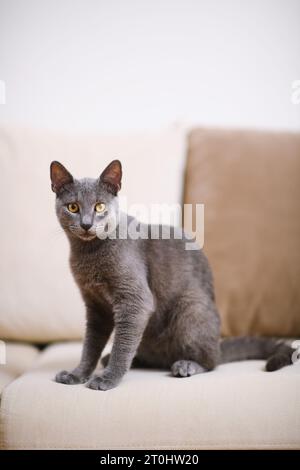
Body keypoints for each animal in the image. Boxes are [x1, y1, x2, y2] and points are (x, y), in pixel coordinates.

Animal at [49, 160, 292, 392]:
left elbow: (121, 345)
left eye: (99, 206)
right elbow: (91, 345)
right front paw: (77, 374)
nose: (86, 224)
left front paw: (107, 379)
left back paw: (186, 365)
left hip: (190, 309)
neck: (88, 254)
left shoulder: (135, 300)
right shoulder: (95, 306)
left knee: (212, 361)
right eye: (73, 207)